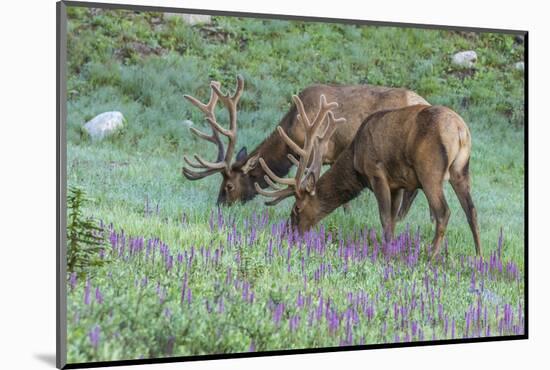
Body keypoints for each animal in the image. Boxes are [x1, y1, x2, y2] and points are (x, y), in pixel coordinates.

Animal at [258, 98, 484, 260]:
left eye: (296, 209)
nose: (287, 234)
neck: (355, 160)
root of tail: (461, 131)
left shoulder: (377, 172)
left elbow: (384, 217)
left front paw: (386, 252)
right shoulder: (397, 184)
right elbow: (393, 219)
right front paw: (392, 246)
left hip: (430, 170)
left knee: (443, 212)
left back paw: (430, 256)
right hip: (461, 170)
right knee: (471, 211)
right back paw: (479, 256)